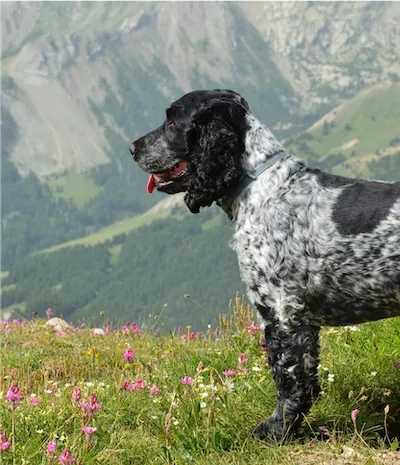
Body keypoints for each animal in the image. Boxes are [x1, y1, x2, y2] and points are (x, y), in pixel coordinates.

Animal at [130, 89, 398, 440]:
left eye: (172, 122)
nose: (132, 147)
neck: (260, 185)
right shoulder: (302, 321)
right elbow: (306, 378)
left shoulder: (280, 310)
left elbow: (288, 380)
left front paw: (276, 430)